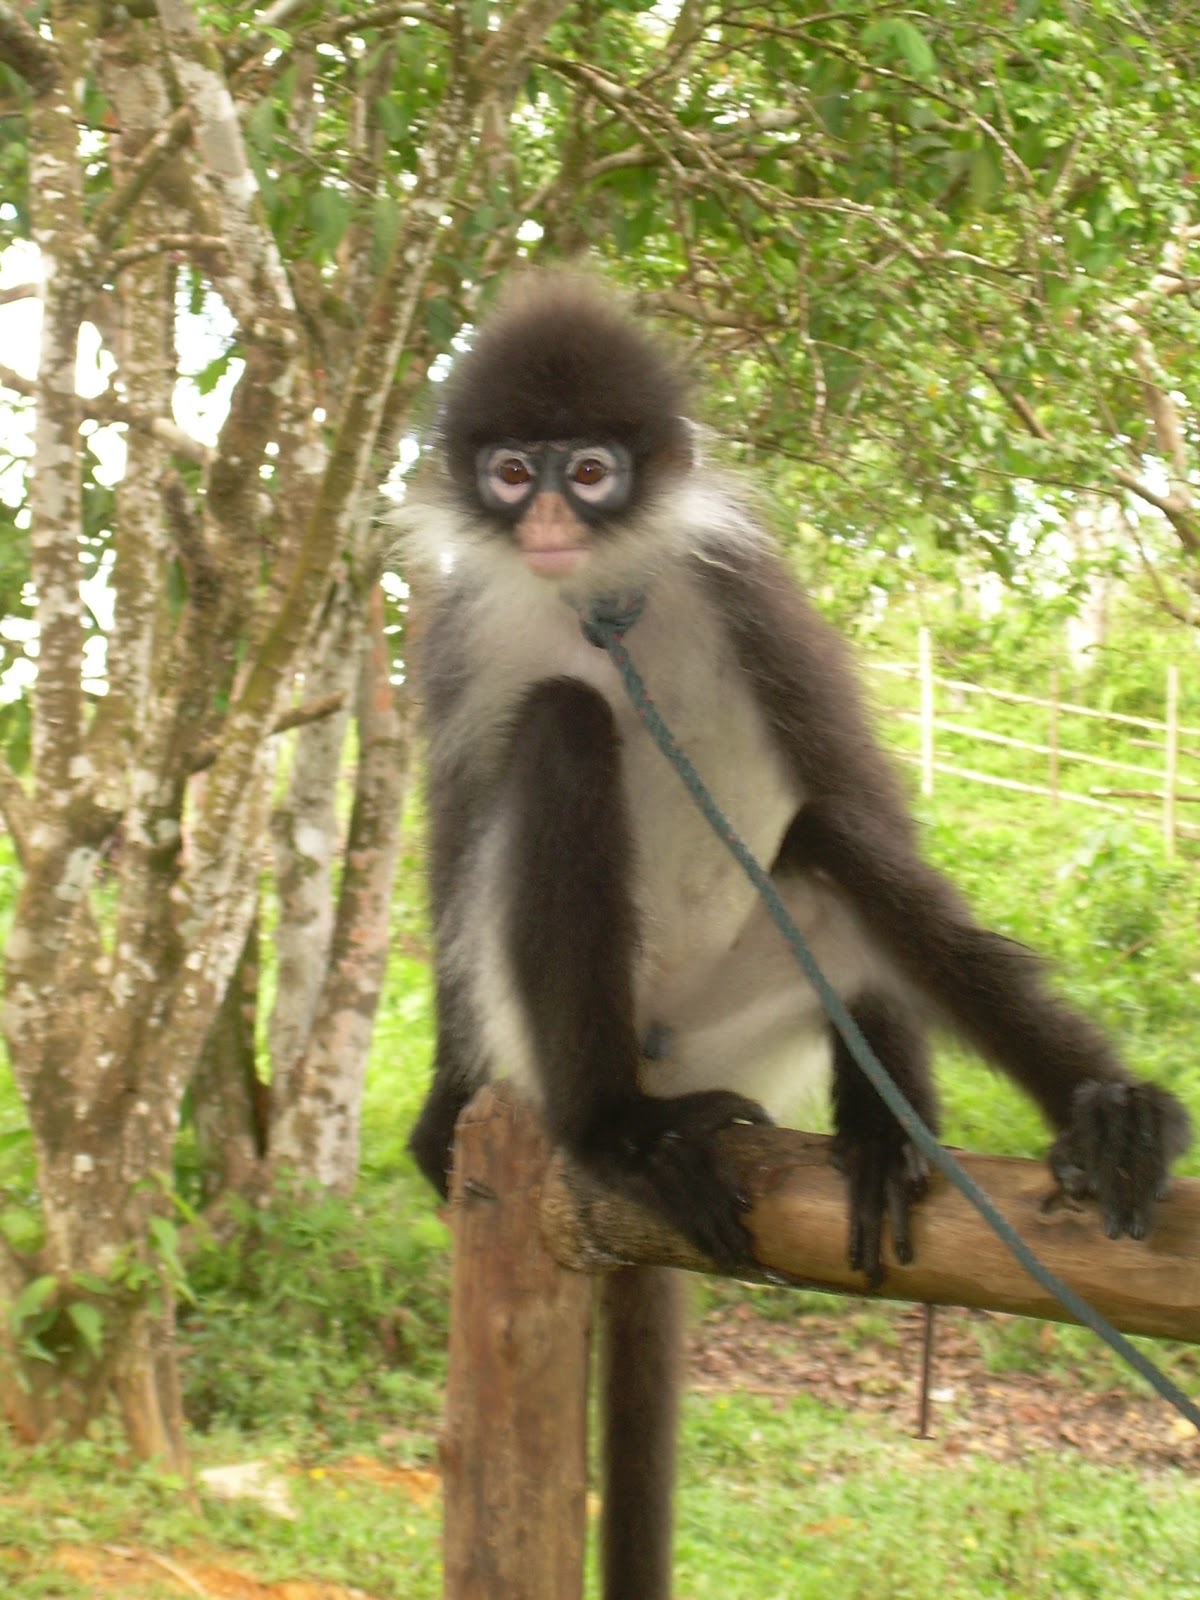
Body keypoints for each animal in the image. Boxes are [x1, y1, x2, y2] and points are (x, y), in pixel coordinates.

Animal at [404, 275, 1196, 1600]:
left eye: (594, 470)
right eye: (512, 472)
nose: (552, 513)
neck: (602, 600)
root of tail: (654, 1054)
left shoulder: (742, 585)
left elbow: (856, 790)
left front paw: (910, 1115)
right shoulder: (464, 628)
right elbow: (461, 820)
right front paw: (437, 1109)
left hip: (753, 995)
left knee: (831, 844)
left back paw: (1081, 1116)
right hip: (550, 1021)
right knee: (563, 725)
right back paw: (619, 1134)